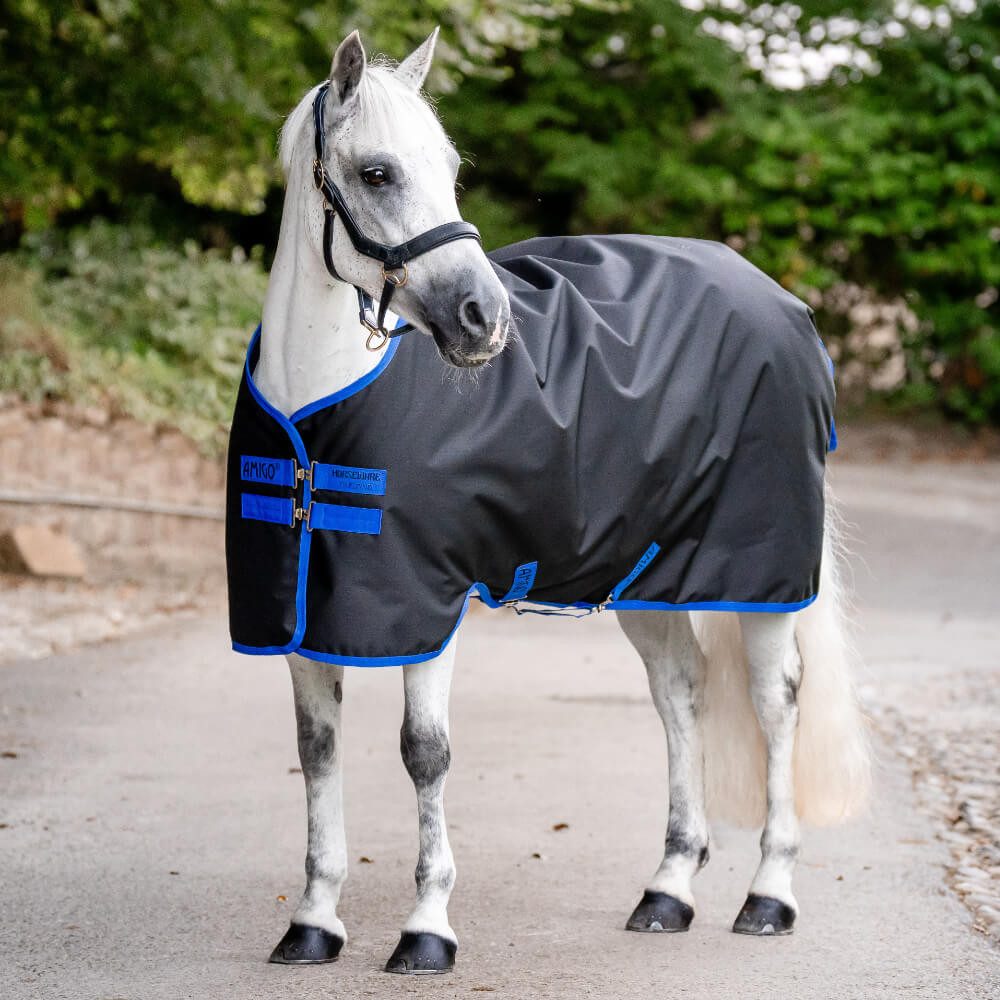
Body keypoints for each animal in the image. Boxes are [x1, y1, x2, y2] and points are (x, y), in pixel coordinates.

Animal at [232, 28, 871, 975]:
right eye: (378, 172)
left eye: (451, 166)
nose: (484, 318)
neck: (319, 414)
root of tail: (784, 304)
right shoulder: (305, 615)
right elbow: (318, 754)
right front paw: (312, 922)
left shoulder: (431, 606)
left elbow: (425, 754)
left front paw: (426, 929)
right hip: (649, 578)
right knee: (680, 693)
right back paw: (667, 890)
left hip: (761, 576)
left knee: (775, 701)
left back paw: (768, 895)